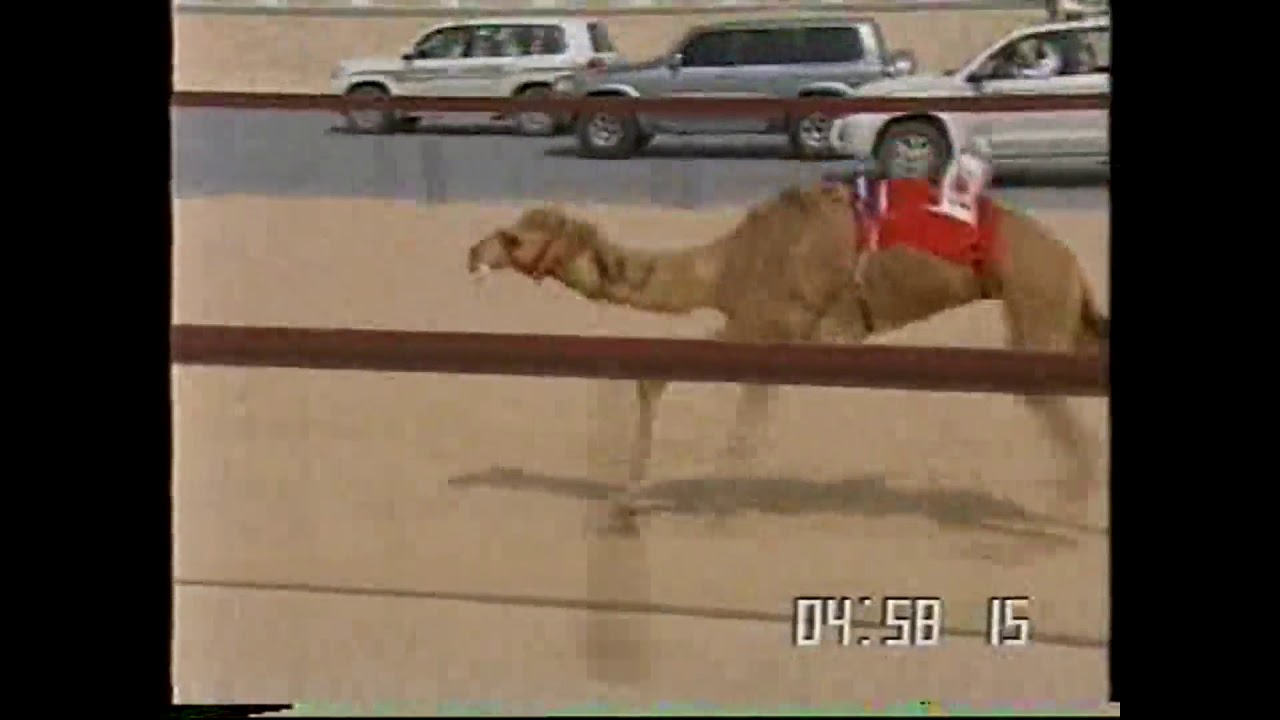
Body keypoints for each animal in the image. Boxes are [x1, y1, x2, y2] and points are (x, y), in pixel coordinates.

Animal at [465, 180, 1109, 522]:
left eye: (515, 239)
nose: (475, 251)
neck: (725, 265)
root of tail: (1071, 262)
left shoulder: (762, 322)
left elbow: (667, 379)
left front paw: (635, 501)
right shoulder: (778, 336)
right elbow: (749, 406)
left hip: (1036, 298)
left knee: (1042, 389)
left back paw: (1071, 498)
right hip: (1061, 311)